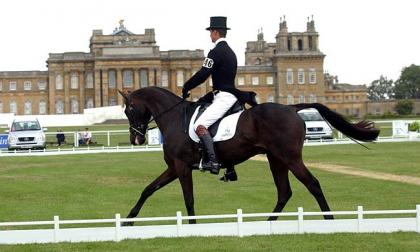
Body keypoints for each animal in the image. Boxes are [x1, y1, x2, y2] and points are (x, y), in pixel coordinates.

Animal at [119, 87, 380, 224]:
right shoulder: (174, 168)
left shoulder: (182, 167)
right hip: (276, 159)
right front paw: (129, 219)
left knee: (312, 184)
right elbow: (148, 189)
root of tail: (292, 108)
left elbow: (188, 199)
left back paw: (330, 220)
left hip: (290, 158)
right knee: (284, 192)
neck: (175, 119)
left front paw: (192, 227)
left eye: (129, 109)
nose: (136, 139)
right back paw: (267, 224)